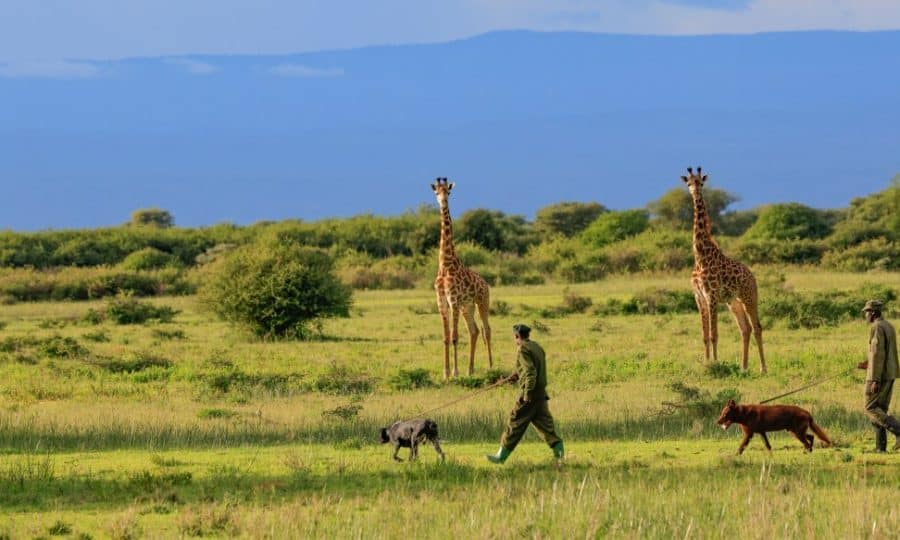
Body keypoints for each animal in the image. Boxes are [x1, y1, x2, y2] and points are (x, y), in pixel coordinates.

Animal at [431, 178, 493, 379]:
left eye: (448, 192)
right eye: (436, 192)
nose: (443, 203)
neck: (446, 265)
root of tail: (485, 283)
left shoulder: (454, 301)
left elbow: (455, 337)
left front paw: (455, 372)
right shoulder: (442, 302)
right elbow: (445, 337)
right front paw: (446, 373)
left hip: (482, 301)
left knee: (486, 330)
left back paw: (490, 366)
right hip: (468, 307)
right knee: (474, 331)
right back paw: (470, 370)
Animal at [682, 166, 767, 373]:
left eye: (700, 182)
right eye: (688, 183)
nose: (695, 192)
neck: (700, 256)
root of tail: (752, 276)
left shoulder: (711, 295)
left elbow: (714, 334)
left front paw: (715, 363)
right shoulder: (699, 297)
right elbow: (705, 335)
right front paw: (706, 363)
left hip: (749, 297)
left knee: (757, 327)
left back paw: (763, 368)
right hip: (733, 302)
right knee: (745, 328)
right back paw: (743, 367)